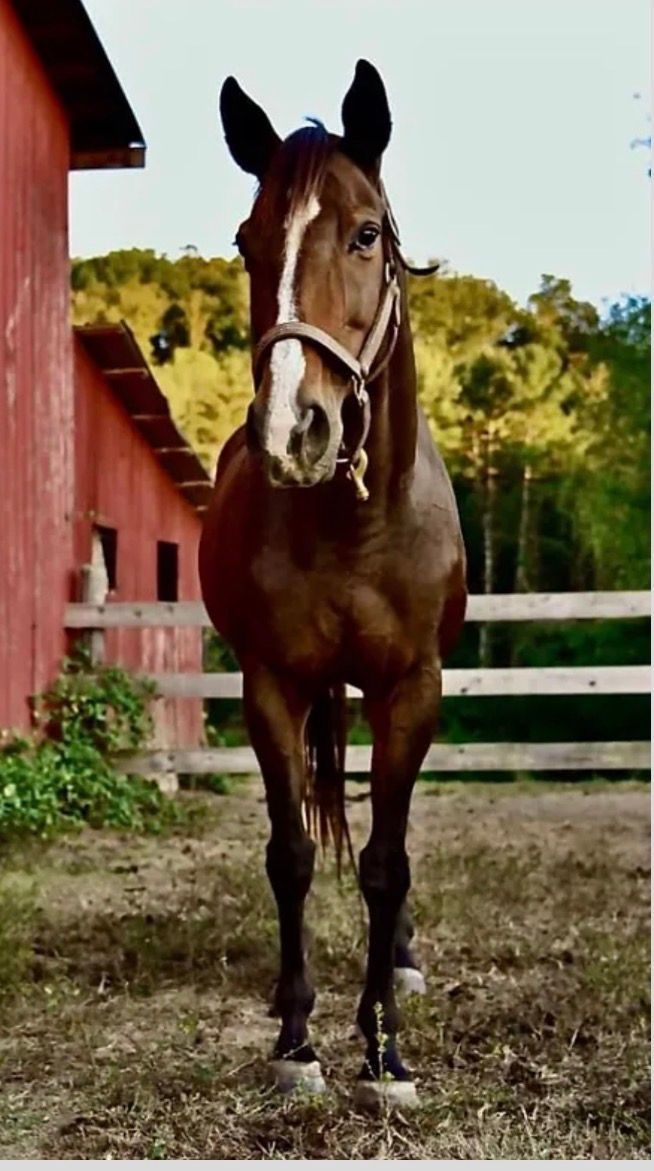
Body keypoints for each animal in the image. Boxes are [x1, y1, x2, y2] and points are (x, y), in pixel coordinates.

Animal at [199, 59, 467, 1108]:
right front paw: (299, 1039)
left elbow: (387, 863)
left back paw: (403, 959)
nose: (293, 430)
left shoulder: (412, 690)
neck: (358, 523)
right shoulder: (273, 686)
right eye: (248, 238)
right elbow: (294, 853)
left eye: (364, 234)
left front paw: (385, 1048)